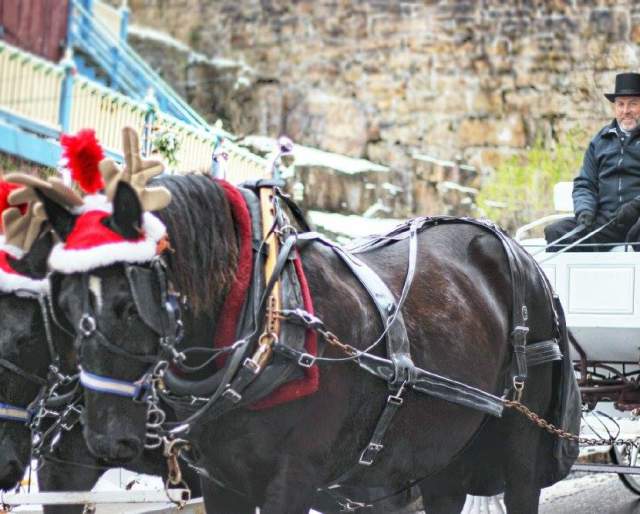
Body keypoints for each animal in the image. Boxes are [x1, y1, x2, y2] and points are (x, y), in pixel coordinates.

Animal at [39, 174, 579, 514]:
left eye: (132, 306)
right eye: (63, 306)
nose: (104, 437)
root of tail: (515, 250)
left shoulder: (294, 477)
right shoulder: (221, 483)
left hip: (520, 447)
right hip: (443, 450)